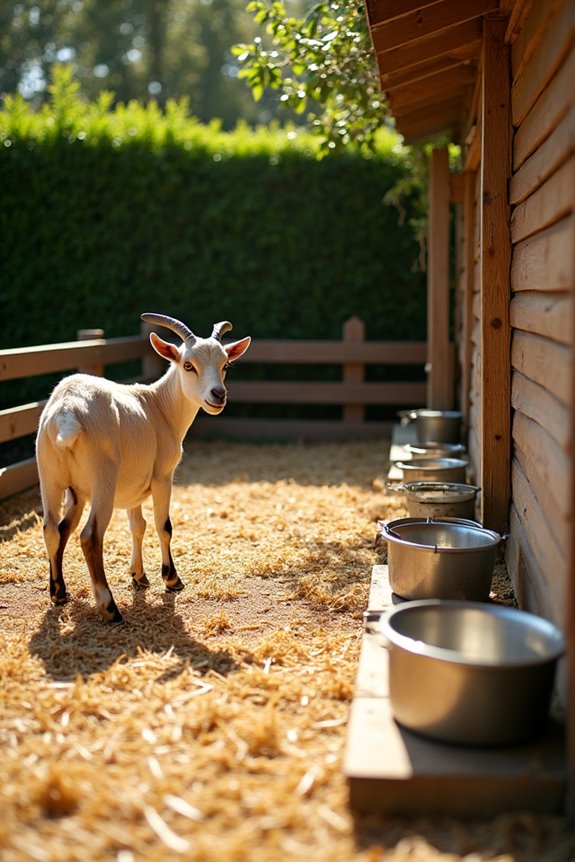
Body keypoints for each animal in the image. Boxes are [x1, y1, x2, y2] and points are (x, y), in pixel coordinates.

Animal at [36, 313, 251, 624]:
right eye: (188, 365)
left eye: (225, 365)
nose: (218, 395)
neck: (159, 406)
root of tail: (67, 410)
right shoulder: (163, 477)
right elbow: (164, 526)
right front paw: (172, 580)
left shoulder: (132, 488)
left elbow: (137, 526)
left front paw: (139, 576)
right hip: (102, 478)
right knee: (90, 536)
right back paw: (110, 608)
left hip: (53, 480)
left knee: (54, 529)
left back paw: (58, 593)